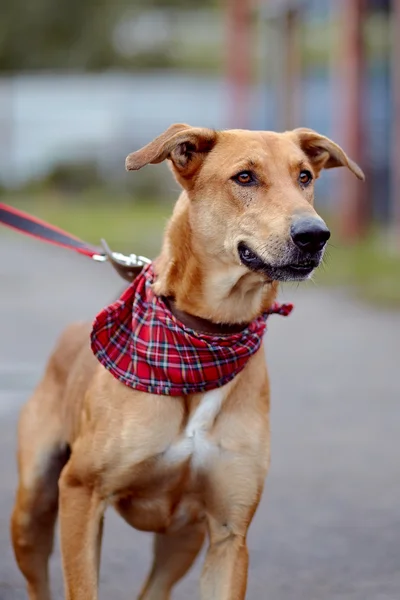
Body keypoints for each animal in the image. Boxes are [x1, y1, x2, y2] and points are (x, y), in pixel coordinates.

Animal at [10, 124, 366, 596]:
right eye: (245, 177)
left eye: (305, 176)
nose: (314, 235)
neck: (205, 338)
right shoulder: (82, 491)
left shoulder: (229, 532)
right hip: (32, 510)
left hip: (182, 539)